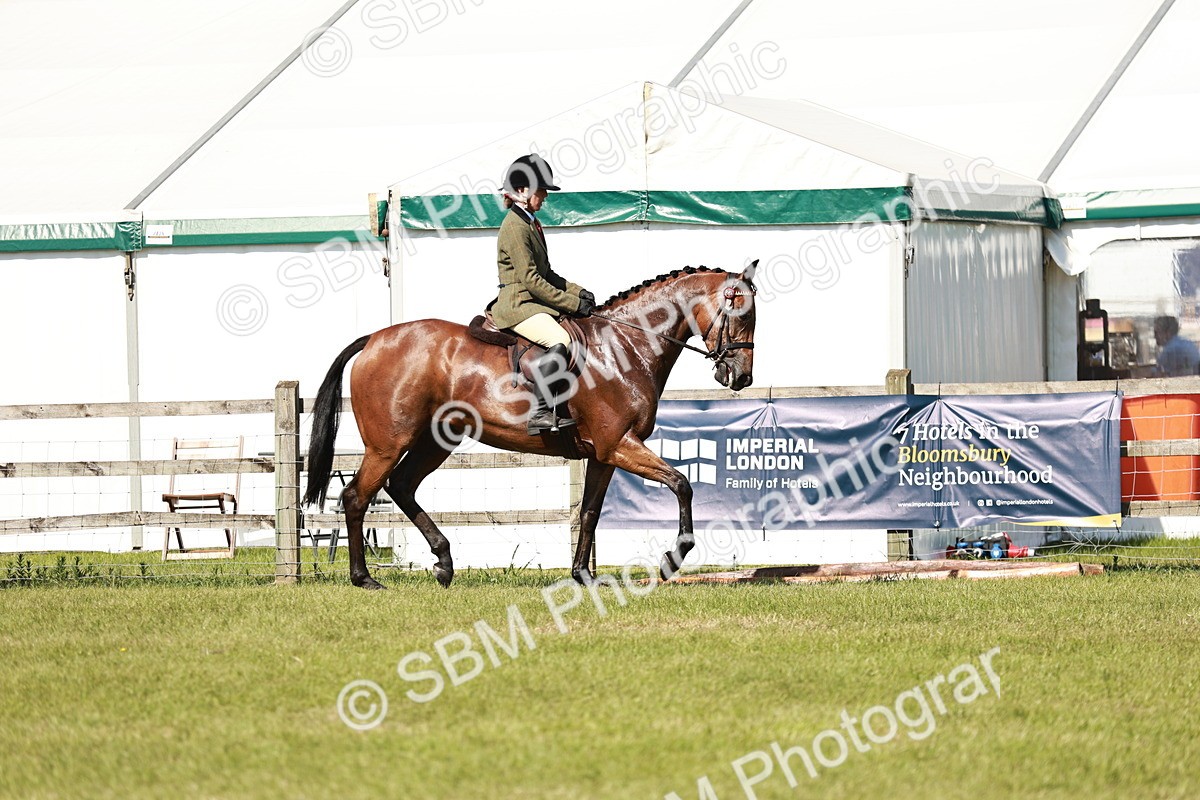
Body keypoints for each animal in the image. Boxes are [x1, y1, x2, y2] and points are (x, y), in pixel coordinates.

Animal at [303, 262, 758, 589]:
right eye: (741, 315)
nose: (741, 378)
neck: (624, 347)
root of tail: (375, 339)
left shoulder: (604, 454)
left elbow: (590, 512)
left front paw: (583, 576)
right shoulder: (619, 444)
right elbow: (682, 484)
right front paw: (671, 559)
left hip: (435, 441)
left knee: (400, 487)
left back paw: (444, 564)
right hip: (388, 444)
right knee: (357, 496)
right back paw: (365, 579)